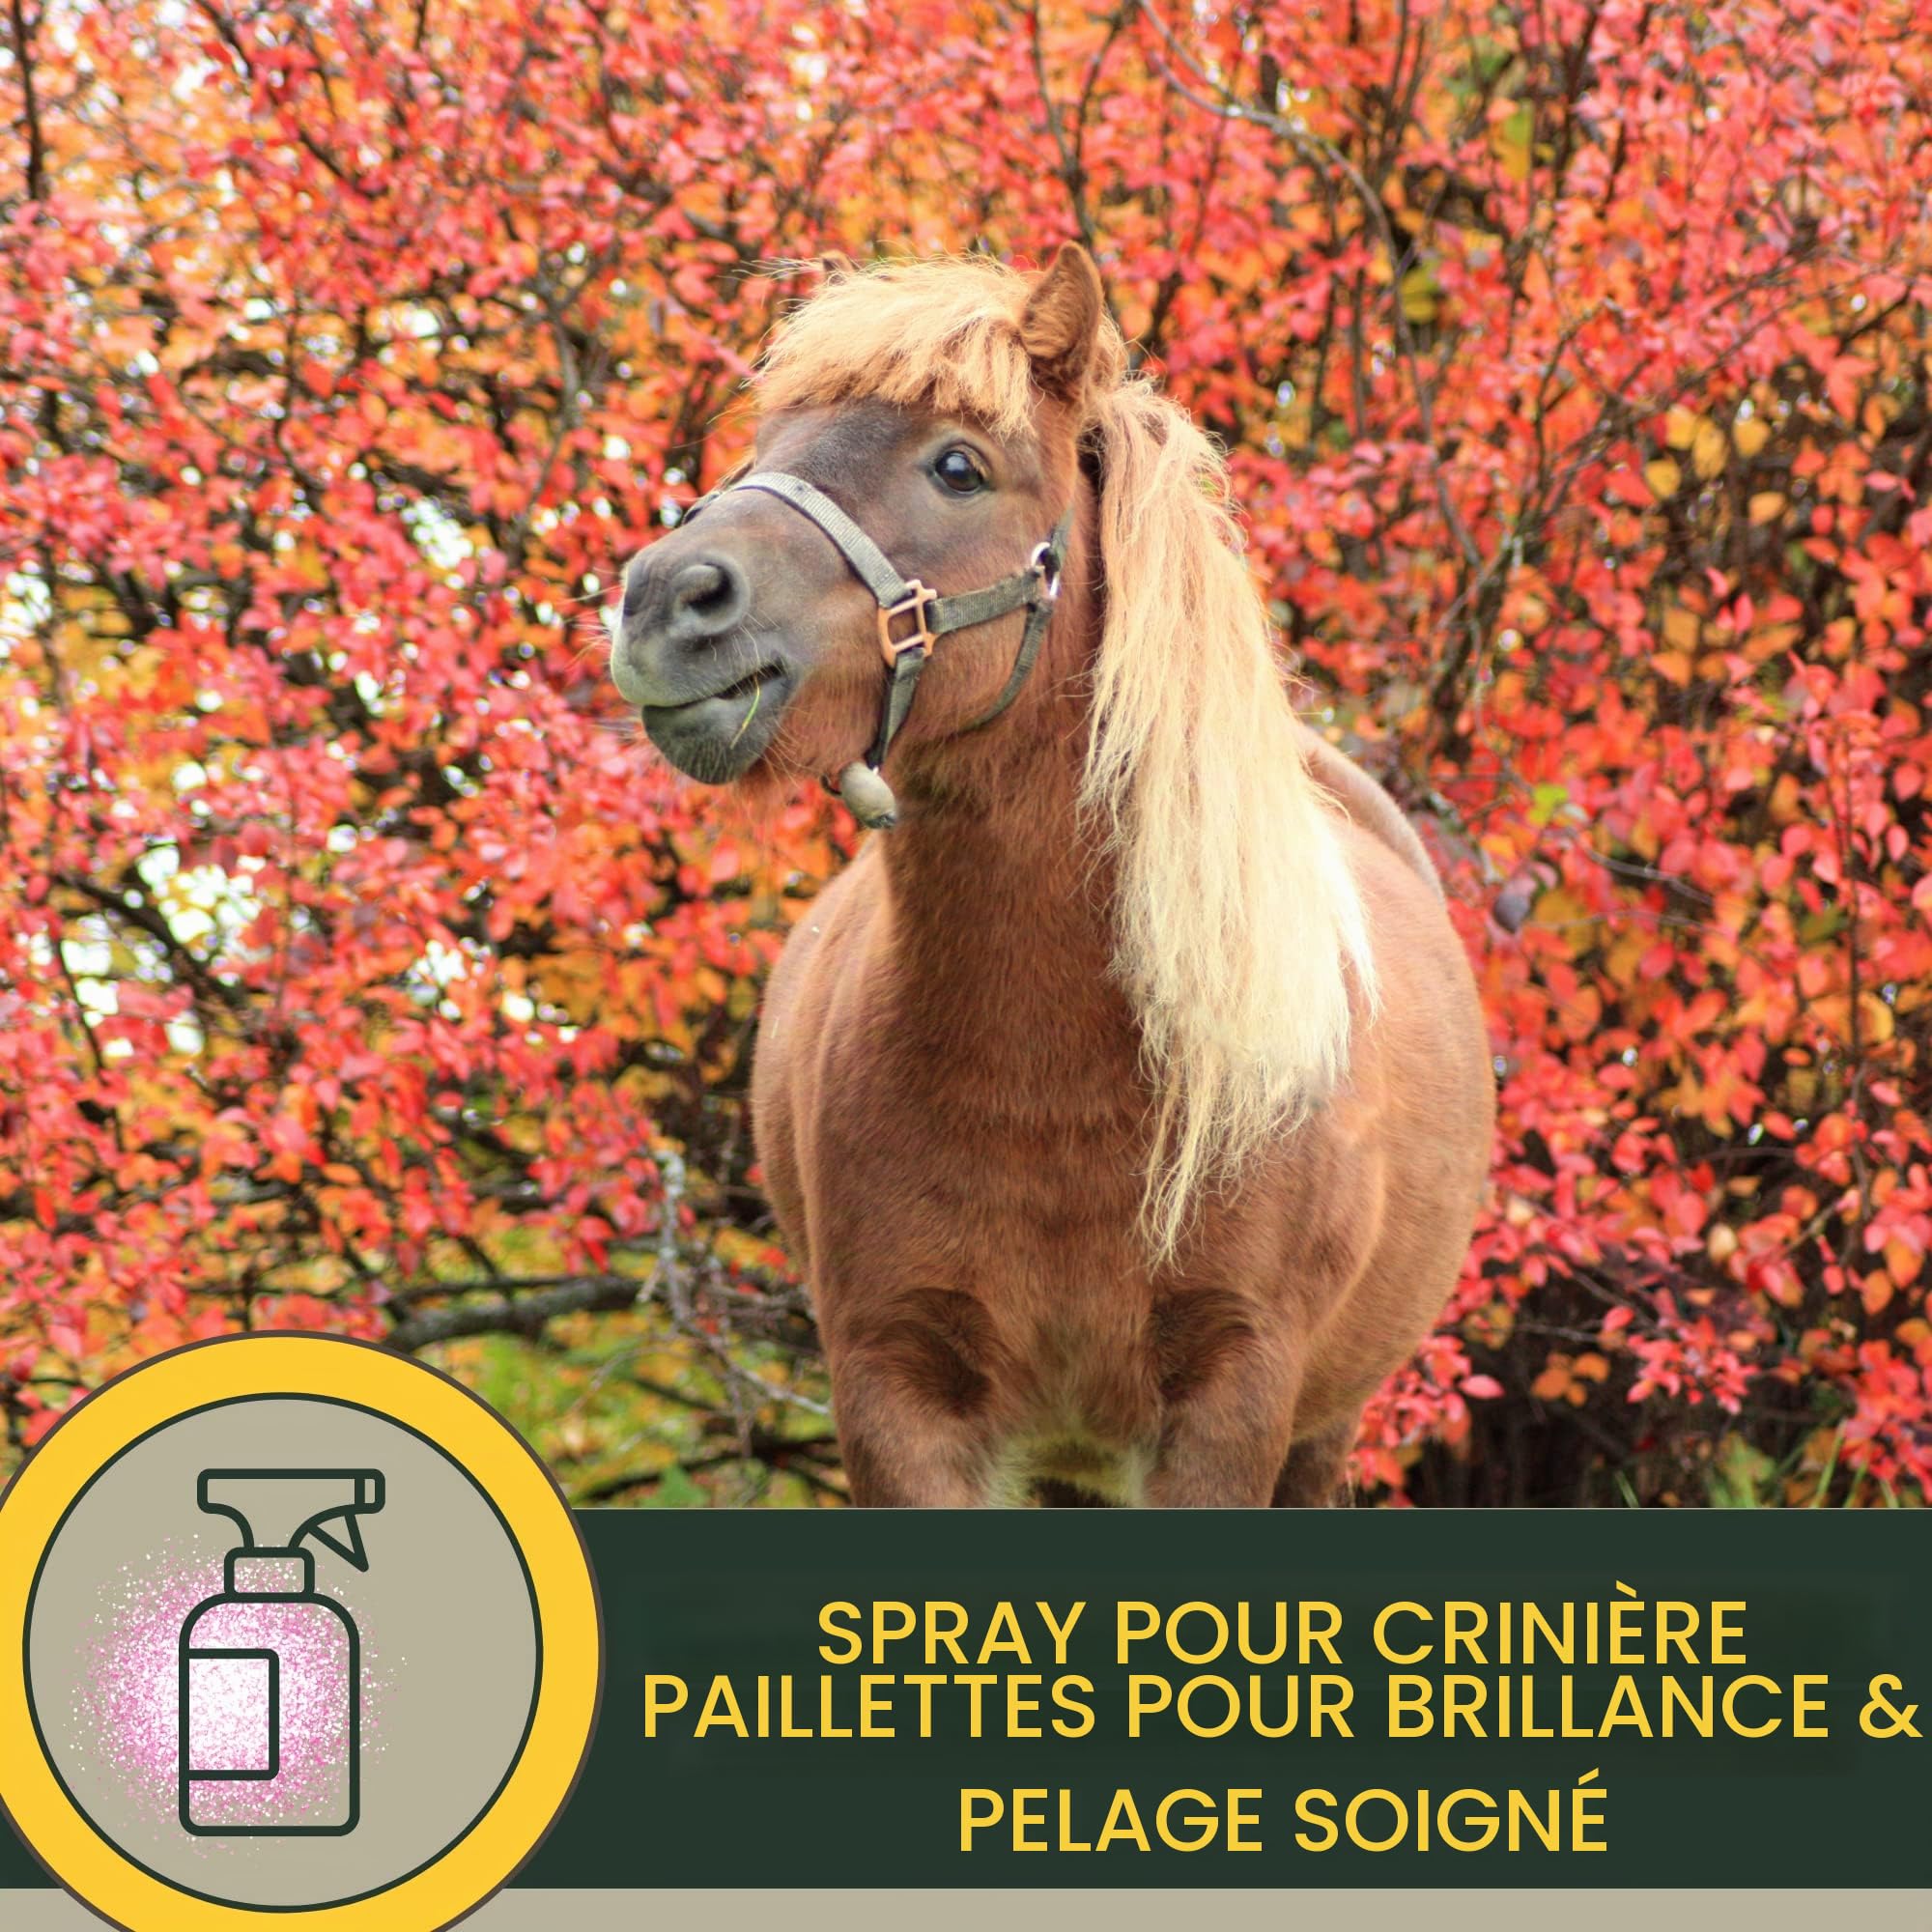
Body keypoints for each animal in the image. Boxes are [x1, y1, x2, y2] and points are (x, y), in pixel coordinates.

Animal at [607, 245, 1494, 1506]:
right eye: (766, 441)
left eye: (958, 466)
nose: (665, 600)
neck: (1056, 1077)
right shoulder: (895, 1389)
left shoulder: (1233, 1398)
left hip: (1323, 1428)